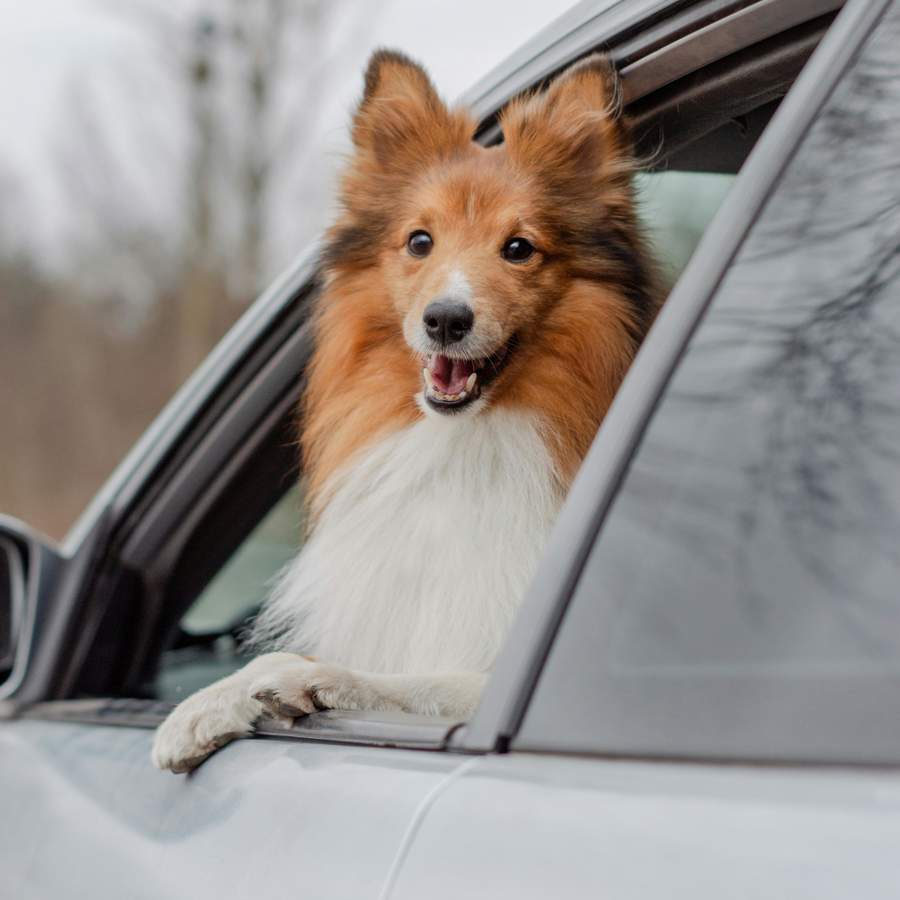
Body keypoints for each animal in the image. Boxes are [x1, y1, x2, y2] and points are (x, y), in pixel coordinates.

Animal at [151, 47, 656, 772]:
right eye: (420, 242)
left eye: (519, 248)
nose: (445, 320)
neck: (465, 443)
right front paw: (201, 708)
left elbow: (422, 680)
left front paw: (315, 681)